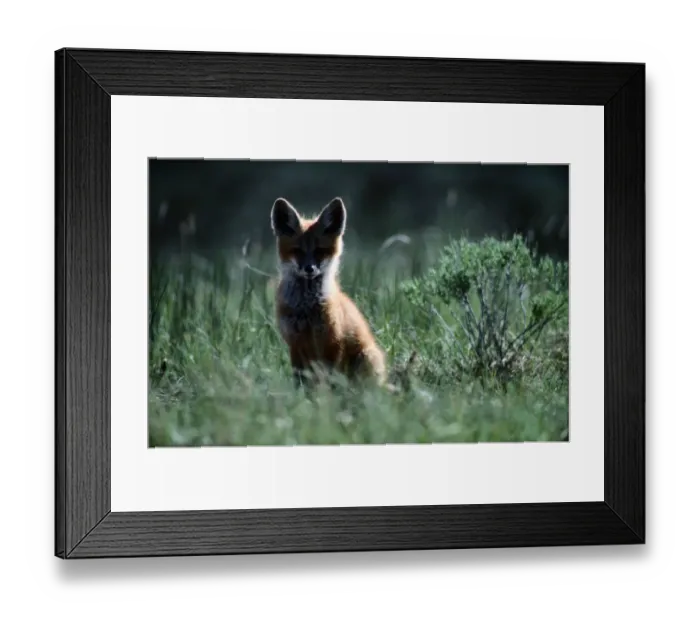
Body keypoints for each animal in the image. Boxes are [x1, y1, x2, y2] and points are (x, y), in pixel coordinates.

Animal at [270, 196, 388, 388]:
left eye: (320, 251)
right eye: (297, 251)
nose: (309, 269)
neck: (306, 308)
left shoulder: (333, 342)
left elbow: (331, 379)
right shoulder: (295, 344)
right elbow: (300, 381)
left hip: (365, 358)